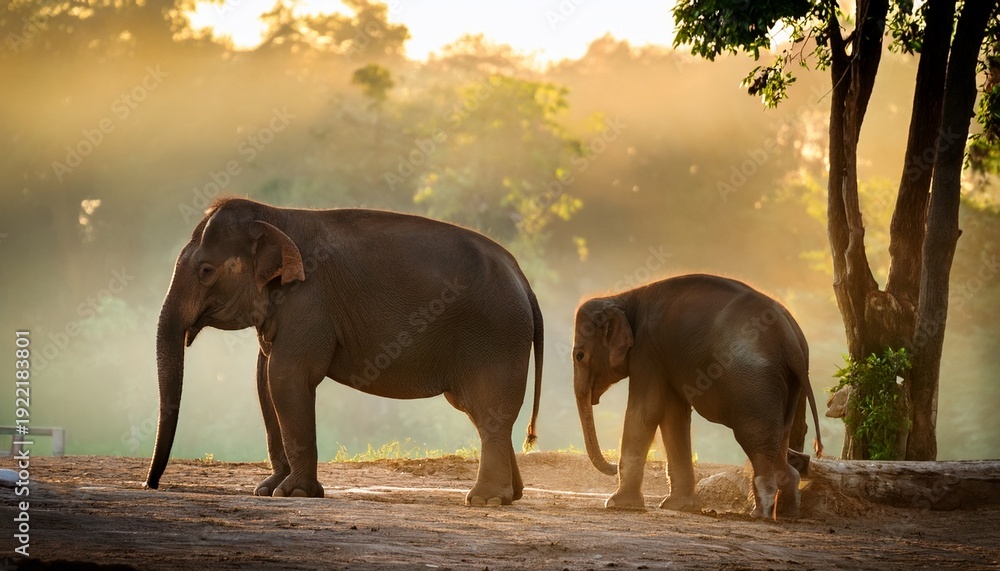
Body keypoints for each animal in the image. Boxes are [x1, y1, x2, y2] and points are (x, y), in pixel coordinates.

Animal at [144, 197, 543, 506]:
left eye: (206, 270)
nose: (151, 485)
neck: (275, 216)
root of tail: (524, 280)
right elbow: (264, 379)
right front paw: (268, 490)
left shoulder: (308, 301)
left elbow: (285, 376)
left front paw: (295, 494)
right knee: (479, 412)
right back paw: (511, 495)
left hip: (496, 336)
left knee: (489, 411)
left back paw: (486, 500)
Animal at [572, 274, 823, 518]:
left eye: (579, 356)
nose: (612, 465)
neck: (625, 298)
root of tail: (792, 342)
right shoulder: (664, 355)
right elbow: (673, 415)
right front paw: (679, 506)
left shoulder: (647, 349)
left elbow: (646, 410)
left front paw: (616, 504)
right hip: (788, 384)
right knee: (781, 436)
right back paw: (789, 512)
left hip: (755, 385)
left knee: (756, 437)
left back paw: (760, 513)